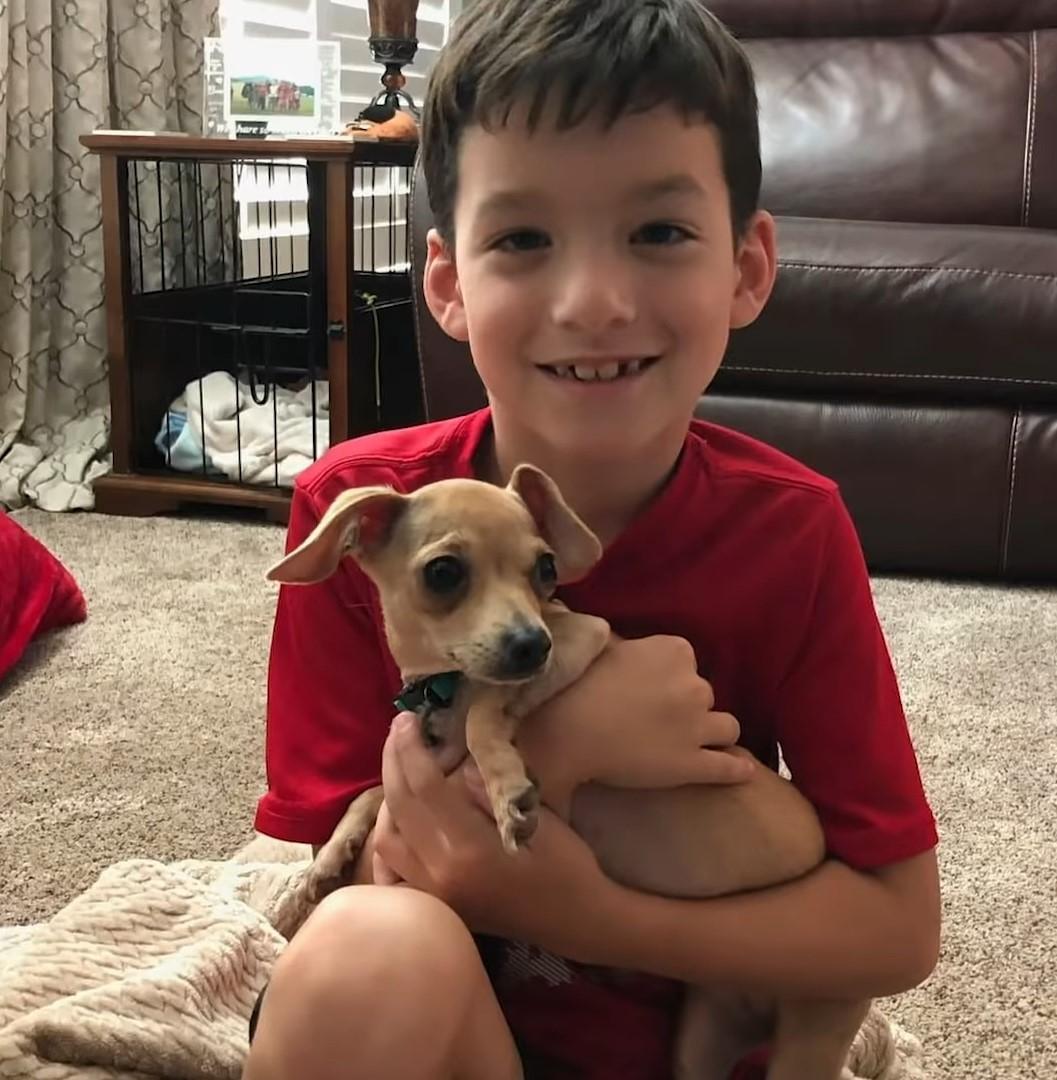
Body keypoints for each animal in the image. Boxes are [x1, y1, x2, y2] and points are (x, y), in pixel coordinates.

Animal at [264, 466, 868, 1080]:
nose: (532, 644)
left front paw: (506, 790)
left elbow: (482, 716)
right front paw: (330, 856)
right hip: (700, 1041)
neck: (444, 686)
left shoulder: (578, 641)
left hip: (811, 1037)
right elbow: (371, 792)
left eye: (546, 569)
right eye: (443, 572)